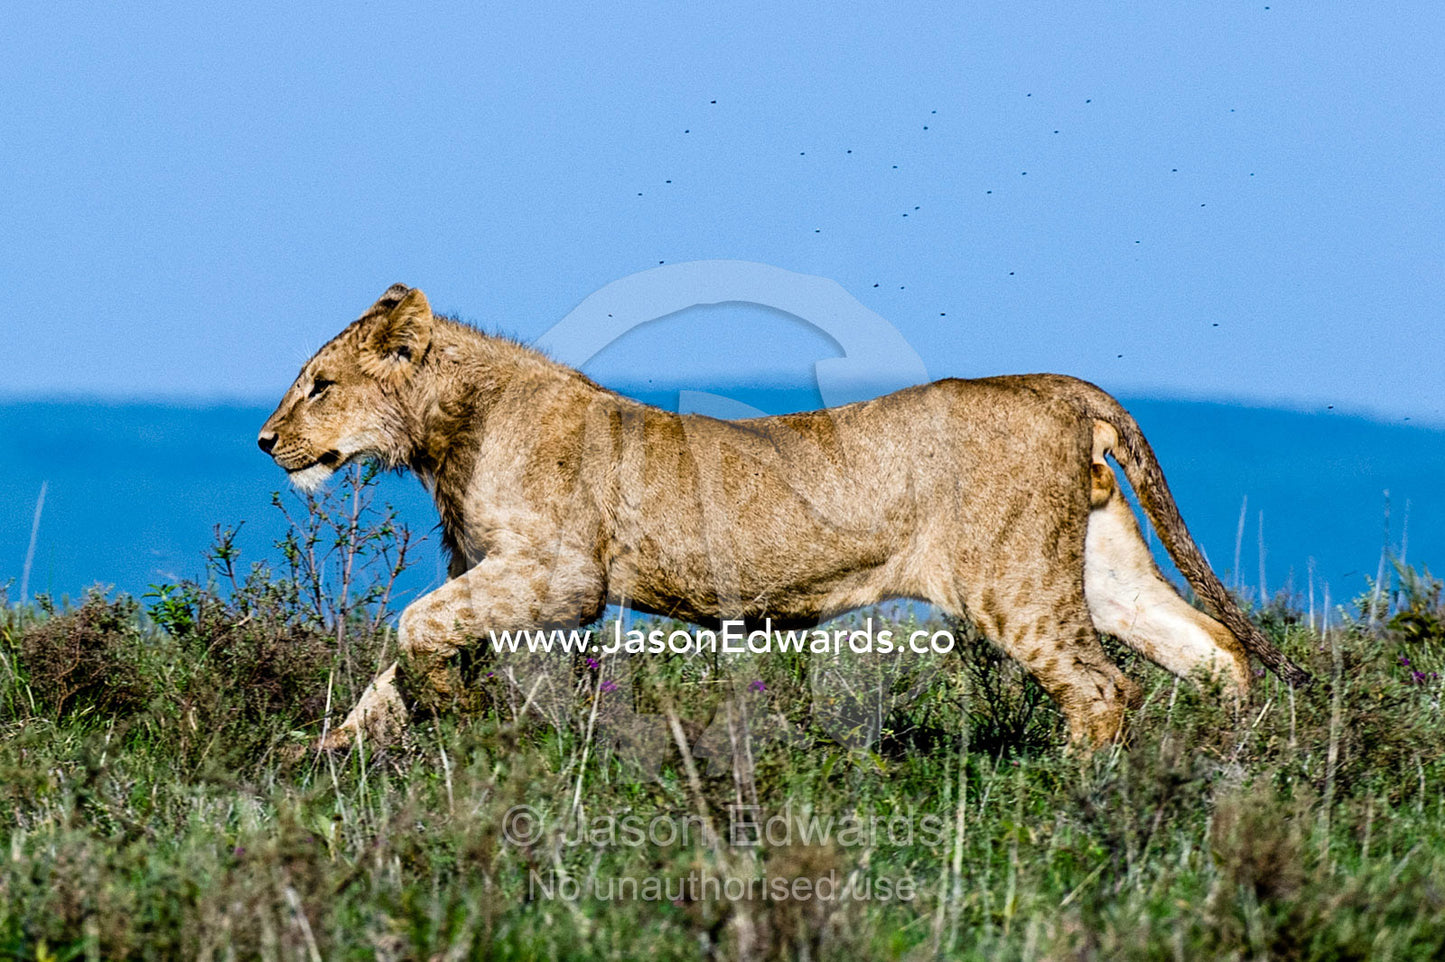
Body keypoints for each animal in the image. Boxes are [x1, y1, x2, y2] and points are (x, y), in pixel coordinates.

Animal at [258, 284, 1310, 751]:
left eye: (320, 385)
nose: (266, 441)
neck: (445, 429)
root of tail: (1054, 385)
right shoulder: (489, 575)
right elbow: (391, 664)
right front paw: (328, 761)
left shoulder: (560, 578)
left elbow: (412, 628)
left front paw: (449, 710)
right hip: (1095, 563)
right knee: (1212, 648)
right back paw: (1220, 776)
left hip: (1011, 583)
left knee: (1101, 686)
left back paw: (1076, 797)